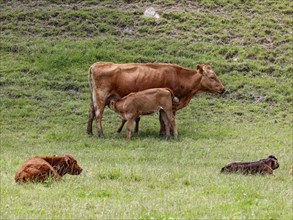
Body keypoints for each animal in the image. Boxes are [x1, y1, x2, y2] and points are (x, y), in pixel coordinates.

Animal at [86, 62, 224, 138]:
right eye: (212, 77)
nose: (223, 89)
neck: (180, 77)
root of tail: (96, 65)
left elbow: (163, 119)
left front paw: (164, 132)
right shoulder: (170, 104)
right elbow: (166, 119)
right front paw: (165, 133)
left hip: (93, 98)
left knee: (91, 113)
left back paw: (90, 132)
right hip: (101, 97)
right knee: (98, 114)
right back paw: (101, 134)